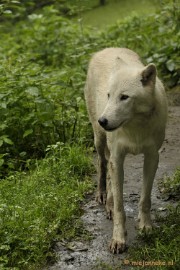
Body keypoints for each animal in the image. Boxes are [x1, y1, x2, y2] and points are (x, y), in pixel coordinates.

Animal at [84, 48, 167, 253]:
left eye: (124, 97)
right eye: (109, 95)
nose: (103, 121)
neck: (136, 126)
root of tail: (106, 48)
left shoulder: (152, 157)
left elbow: (145, 198)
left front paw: (146, 226)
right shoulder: (118, 157)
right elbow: (120, 207)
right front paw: (118, 239)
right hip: (99, 141)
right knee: (102, 165)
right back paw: (103, 197)